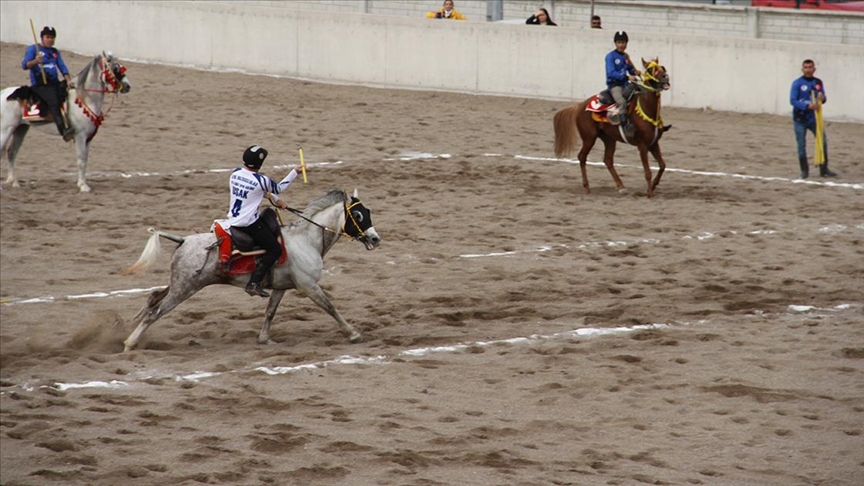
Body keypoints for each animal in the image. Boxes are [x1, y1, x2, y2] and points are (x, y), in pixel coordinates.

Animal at [0, 50, 132, 192]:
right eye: (115, 68)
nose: (128, 86)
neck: (85, 98)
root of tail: (3, 94)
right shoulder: (80, 136)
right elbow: (81, 160)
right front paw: (83, 186)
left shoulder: (88, 138)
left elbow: (85, 160)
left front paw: (81, 183)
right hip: (6, 129)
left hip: (21, 128)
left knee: (11, 152)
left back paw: (14, 182)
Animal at [121, 188, 382, 352]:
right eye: (358, 215)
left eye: (368, 212)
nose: (375, 239)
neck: (306, 239)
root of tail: (183, 240)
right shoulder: (308, 286)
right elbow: (330, 308)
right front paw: (353, 333)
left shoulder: (281, 288)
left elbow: (270, 312)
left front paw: (264, 339)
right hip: (184, 288)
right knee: (155, 312)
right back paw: (130, 343)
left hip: (178, 284)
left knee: (153, 297)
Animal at [556, 58, 672, 197]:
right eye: (650, 70)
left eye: (663, 68)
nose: (665, 77)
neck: (646, 109)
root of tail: (579, 106)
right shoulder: (642, 145)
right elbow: (647, 171)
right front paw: (649, 193)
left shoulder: (654, 143)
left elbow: (662, 165)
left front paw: (654, 185)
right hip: (589, 138)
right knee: (582, 157)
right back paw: (587, 187)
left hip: (609, 139)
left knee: (608, 160)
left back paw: (621, 186)